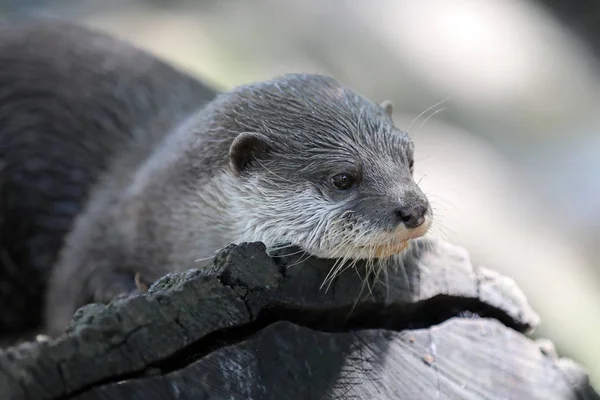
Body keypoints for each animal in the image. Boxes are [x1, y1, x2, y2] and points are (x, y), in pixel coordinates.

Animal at [0, 18, 432, 338]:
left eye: (409, 159)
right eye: (343, 178)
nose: (414, 209)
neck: (159, 209)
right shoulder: (98, 229)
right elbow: (68, 293)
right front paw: (124, 290)